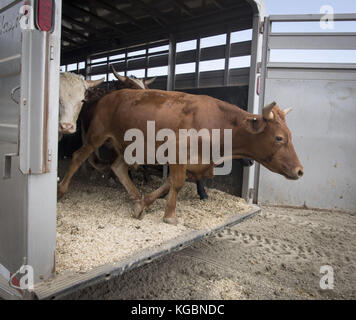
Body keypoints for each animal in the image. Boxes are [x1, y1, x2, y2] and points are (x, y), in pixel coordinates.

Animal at [58, 89, 304, 225]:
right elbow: (175, 183)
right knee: (78, 156)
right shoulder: (178, 152)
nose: (300, 171)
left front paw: (143, 204)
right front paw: (169, 215)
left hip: (130, 146)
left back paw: (136, 196)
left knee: (117, 167)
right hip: (97, 135)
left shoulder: (192, 163)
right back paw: (61, 190)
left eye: (291, 136)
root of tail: (107, 97)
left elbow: (169, 183)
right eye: (280, 138)